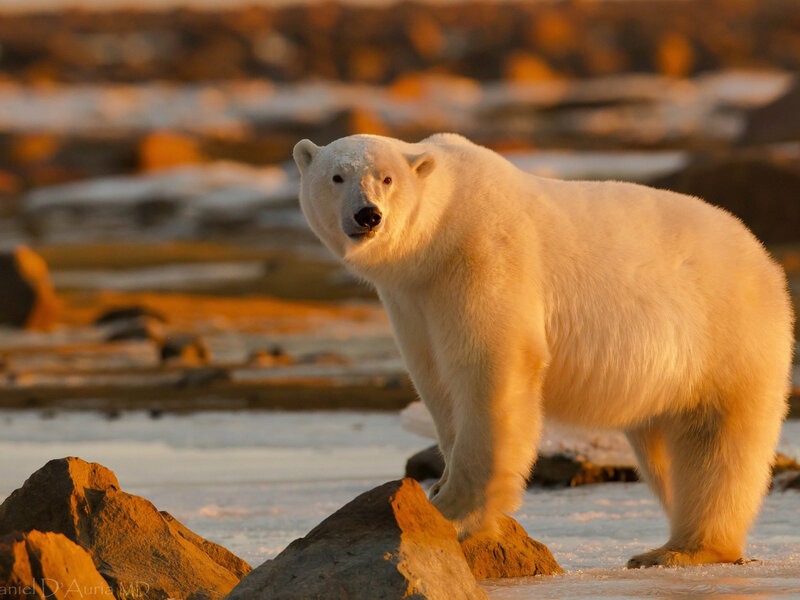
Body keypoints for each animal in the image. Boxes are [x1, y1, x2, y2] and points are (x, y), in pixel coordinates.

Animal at [293, 133, 794, 568]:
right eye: (336, 177)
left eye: (387, 178)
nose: (367, 215)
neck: (440, 232)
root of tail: (764, 259)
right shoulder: (412, 299)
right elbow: (435, 381)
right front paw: (437, 489)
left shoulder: (483, 256)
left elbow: (493, 365)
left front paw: (453, 511)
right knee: (665, 450)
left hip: (726, 335)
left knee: (715, 444)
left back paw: (682, 550)